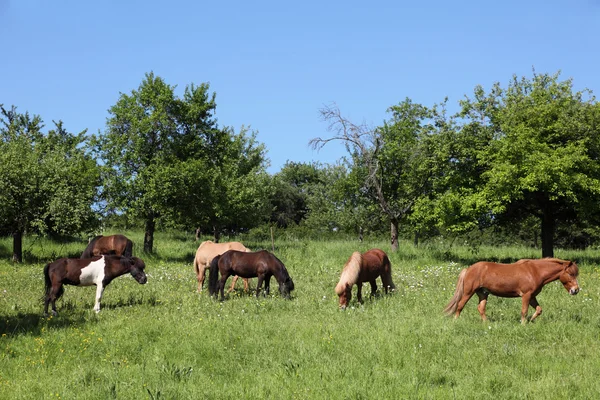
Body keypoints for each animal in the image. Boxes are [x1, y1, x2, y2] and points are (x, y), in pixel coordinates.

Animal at [442, 258, 580, 324]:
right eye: (570, 274)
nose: (576, 290)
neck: (535, 271)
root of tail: (469, 268)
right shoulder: (526, 295)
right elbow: (524, 311)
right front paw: (523, 324)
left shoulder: (532, 296)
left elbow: (539, 310)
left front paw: (531, 320)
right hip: (468, 292)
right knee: (460, 305)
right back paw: (455, 321)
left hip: (483, 293)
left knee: (481, 308)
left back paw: (486, 323)